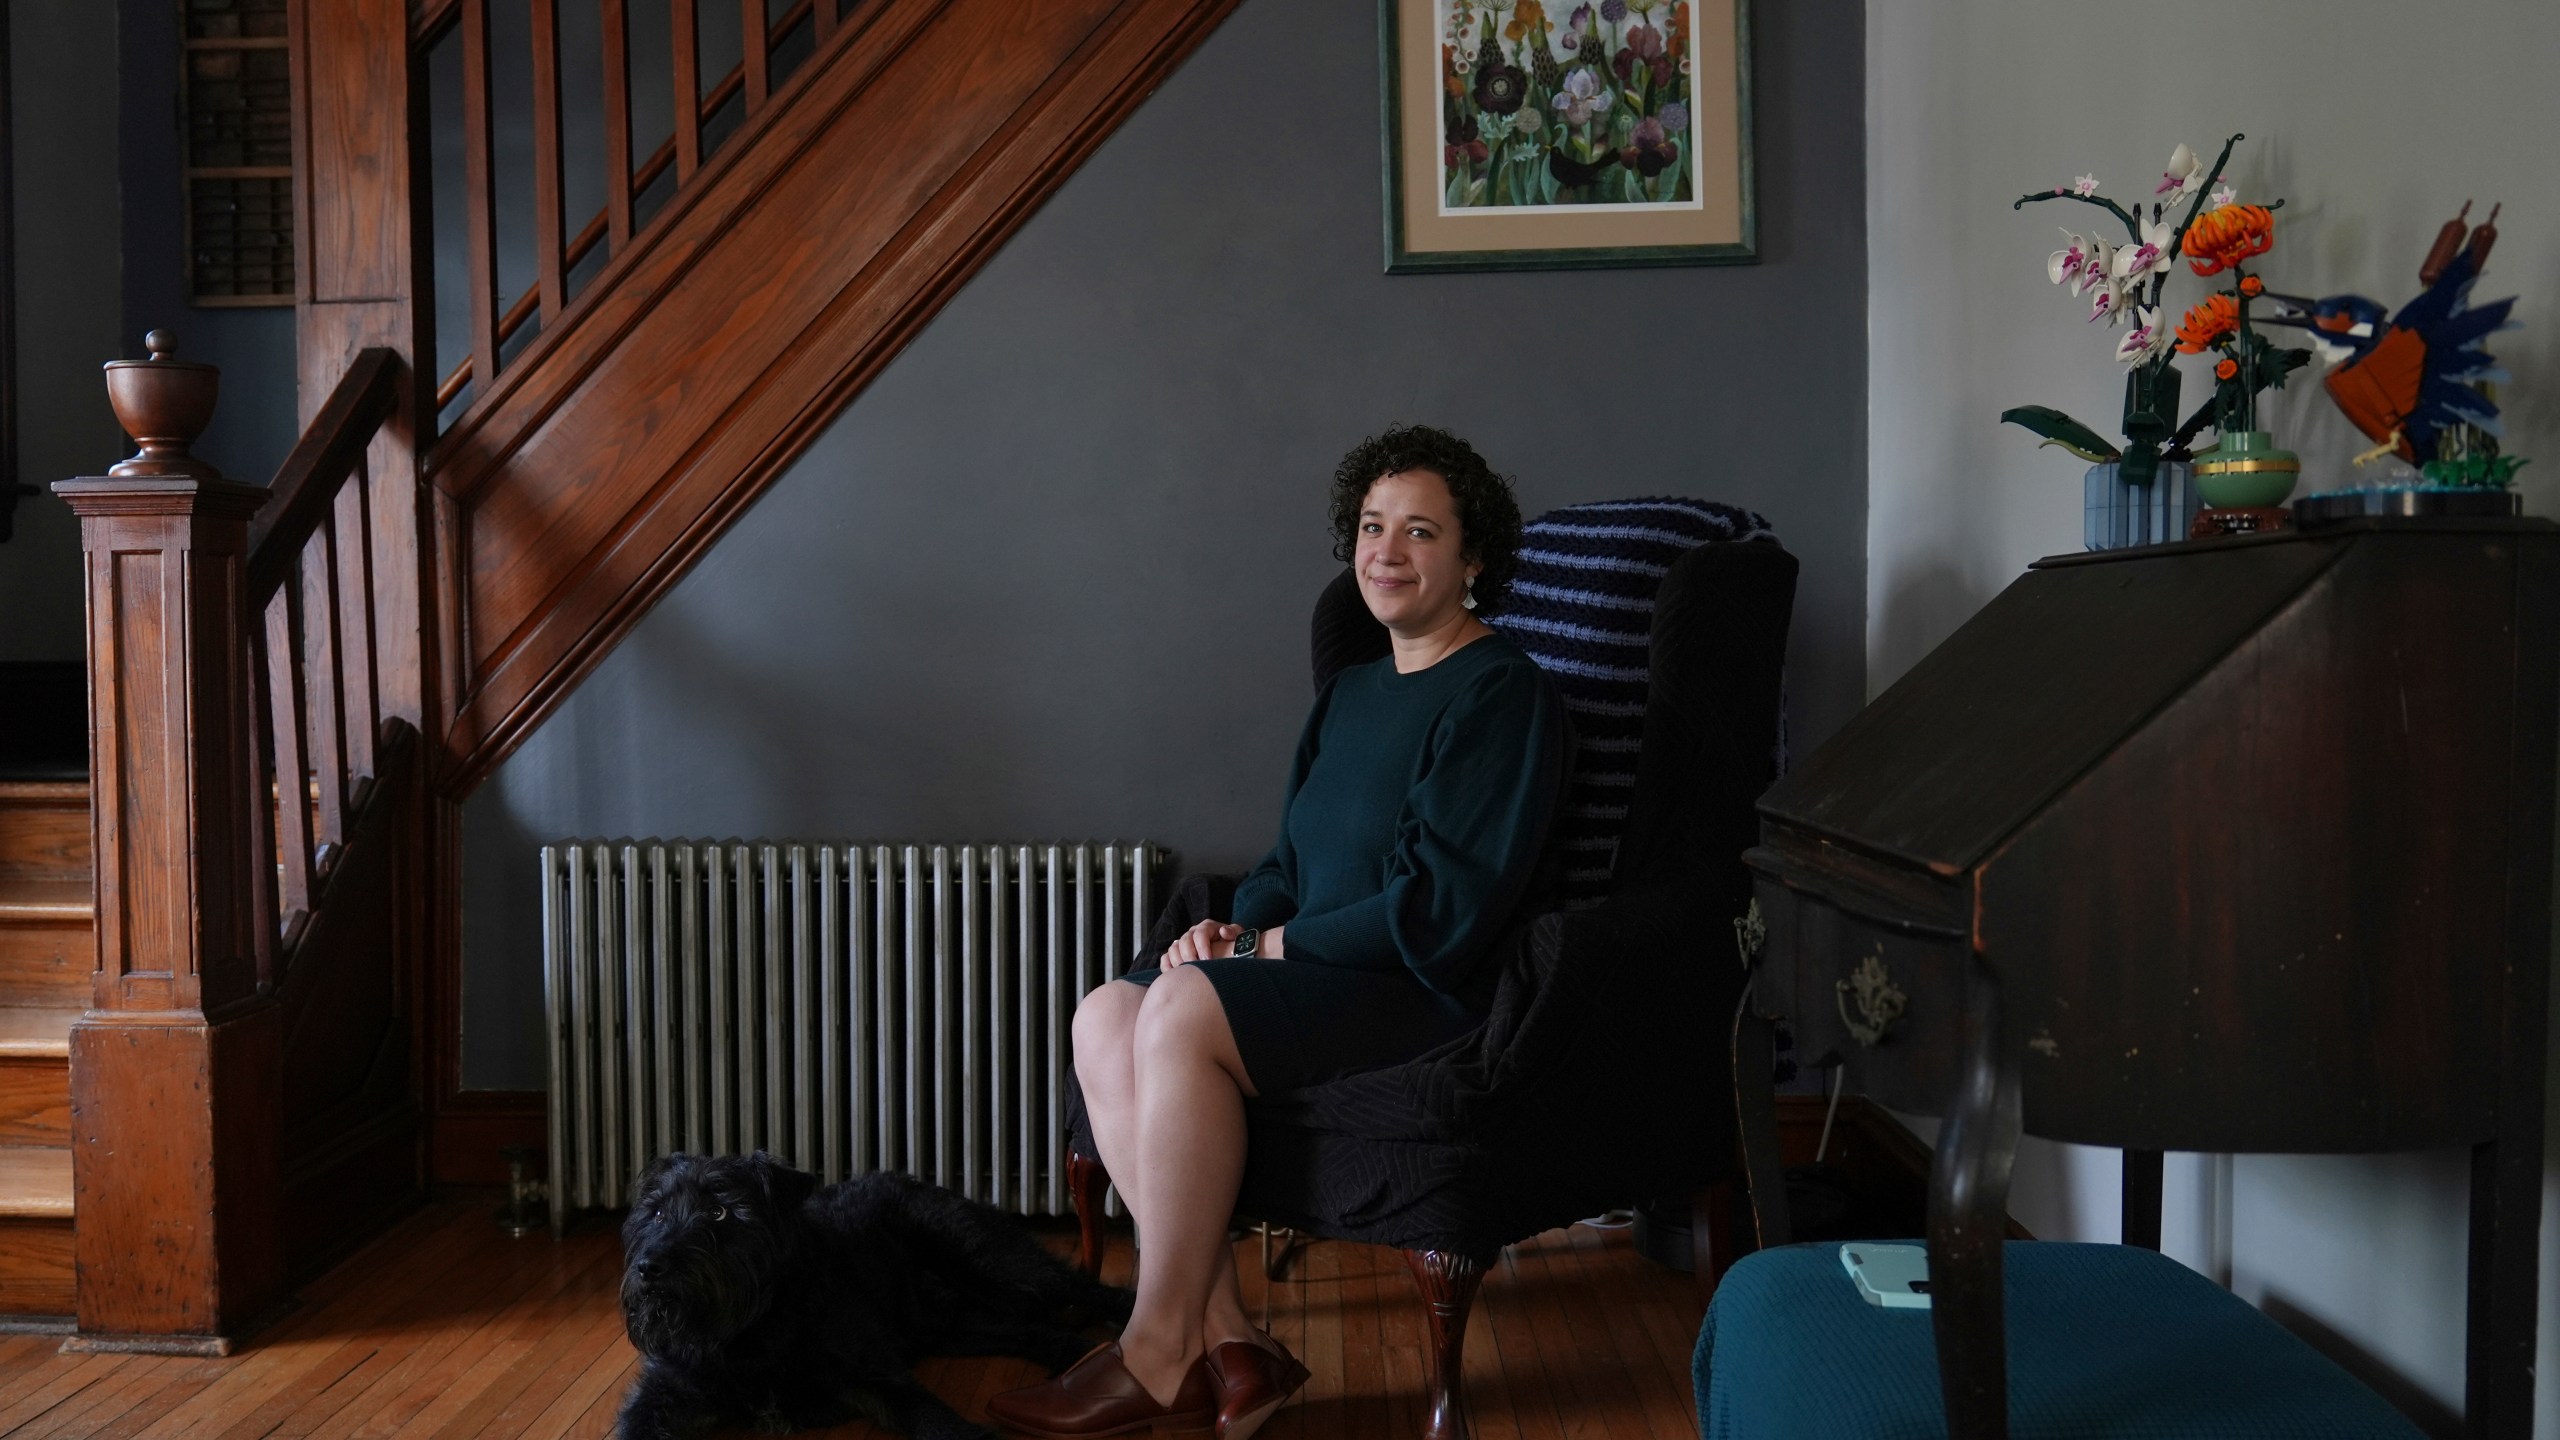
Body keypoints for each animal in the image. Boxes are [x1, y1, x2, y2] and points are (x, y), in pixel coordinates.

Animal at [609, 1147, 1131, 1434]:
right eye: (656, 1213)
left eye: (720, 1212)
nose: (650, 1268)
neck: (751, 1330)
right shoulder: (664, 1393)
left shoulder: (873, 1370)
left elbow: (933, 1420)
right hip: (954, 1325)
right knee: (1031, 1330)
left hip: (993, 1260)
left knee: (1086, 1288)